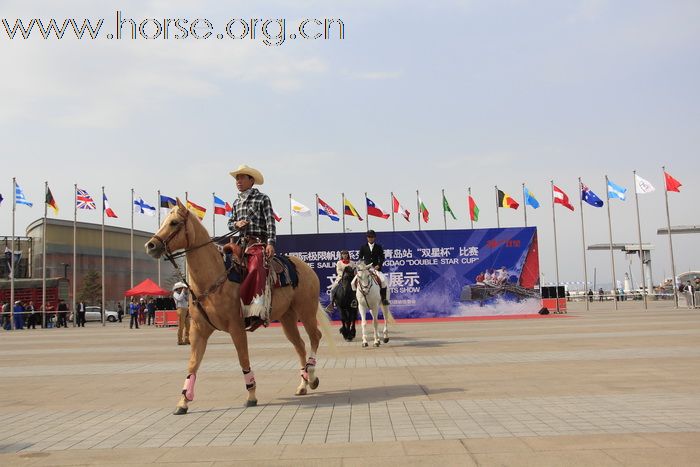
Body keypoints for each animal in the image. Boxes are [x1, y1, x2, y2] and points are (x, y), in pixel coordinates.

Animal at [144, 199, 332, 414]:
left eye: (174, 222)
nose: (150, 245)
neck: (215, 279)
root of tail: (306, 268)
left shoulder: (236, 327)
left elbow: (243, 359)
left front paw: (251, 395)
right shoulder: (198, 330)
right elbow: (193, 364)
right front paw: (183, 401)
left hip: (306, 311)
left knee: (315, 337)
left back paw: (312, 376)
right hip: (287, 317)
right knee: (300, 345)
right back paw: (303, 384)